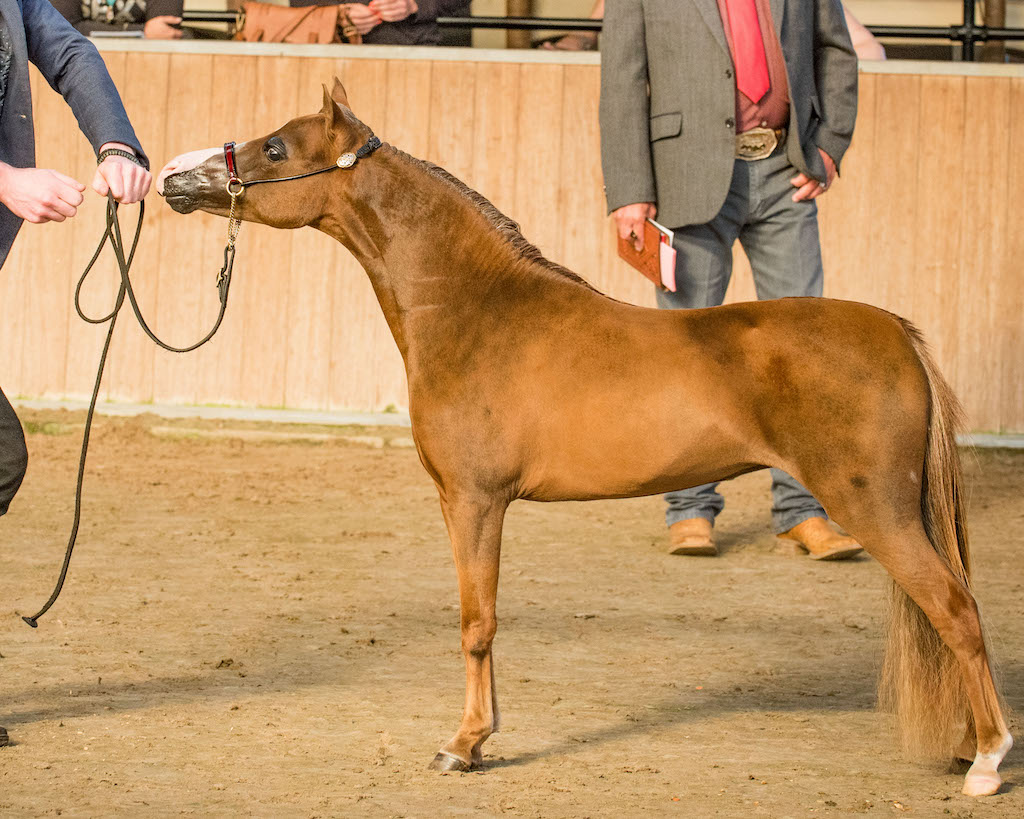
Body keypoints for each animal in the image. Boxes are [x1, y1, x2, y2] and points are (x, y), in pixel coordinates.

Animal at [156, 79, 1012, 797]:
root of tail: (898, 332)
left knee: (957, 610)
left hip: (880, 510)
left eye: (275, 148)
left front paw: (464, 744)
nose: (174, 178)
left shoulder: (474, 501)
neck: (476, 309)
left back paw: (989, 761)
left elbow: (476, 621)